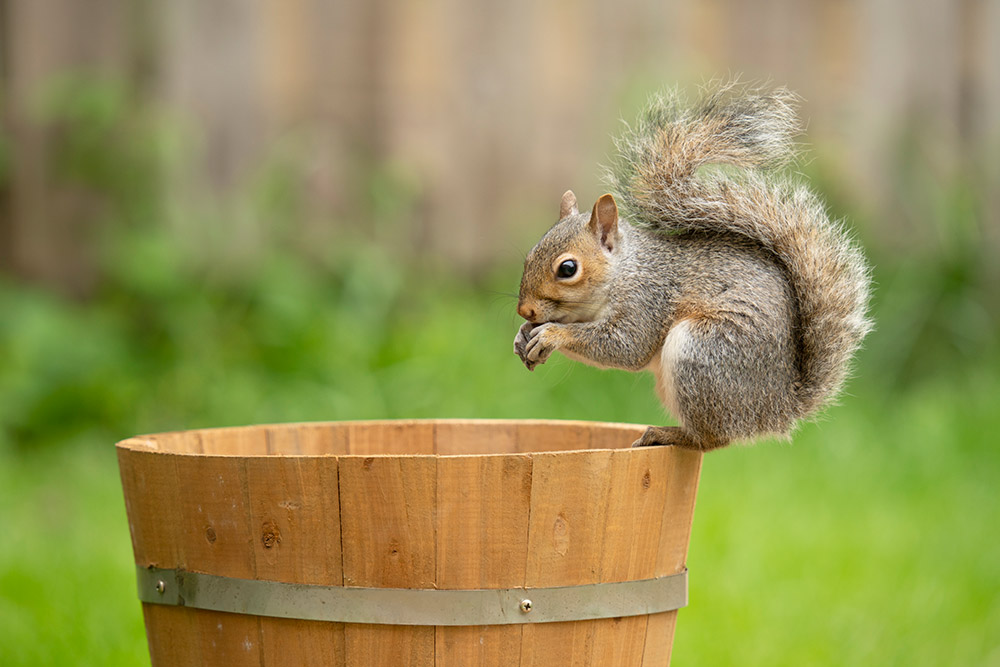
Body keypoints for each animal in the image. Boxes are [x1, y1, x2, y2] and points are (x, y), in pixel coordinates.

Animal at [513, 82, 872, 450]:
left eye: (568, 269)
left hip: (702, 354)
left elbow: (626, 347)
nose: (524, 310)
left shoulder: (647, 302)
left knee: (713, 438)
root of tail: (777, 407)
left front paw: (553, 334)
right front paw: (523, 335)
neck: (624, 272)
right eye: (530, 255)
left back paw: (669, 434)